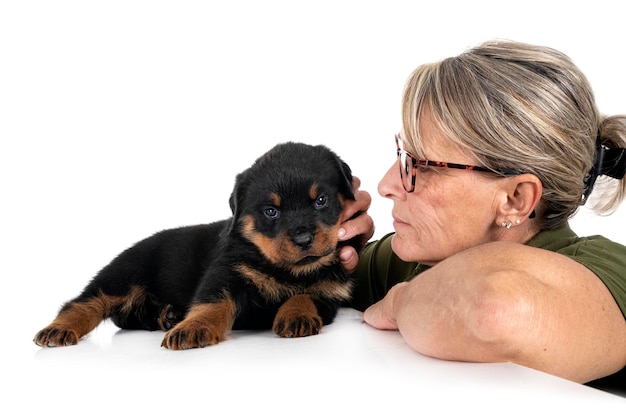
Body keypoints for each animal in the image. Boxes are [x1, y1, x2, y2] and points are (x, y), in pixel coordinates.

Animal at [34, 141, 360, 348]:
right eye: (271, 211)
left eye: (321, 201)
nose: (304, 239)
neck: (285, 269)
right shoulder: (226, 272)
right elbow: (211, 302)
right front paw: (193, 329)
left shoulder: (329, 293)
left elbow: (305, 295)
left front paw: (297, 316)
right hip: (124, 273)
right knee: (87, 301)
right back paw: (59, 329)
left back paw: (167, 316)